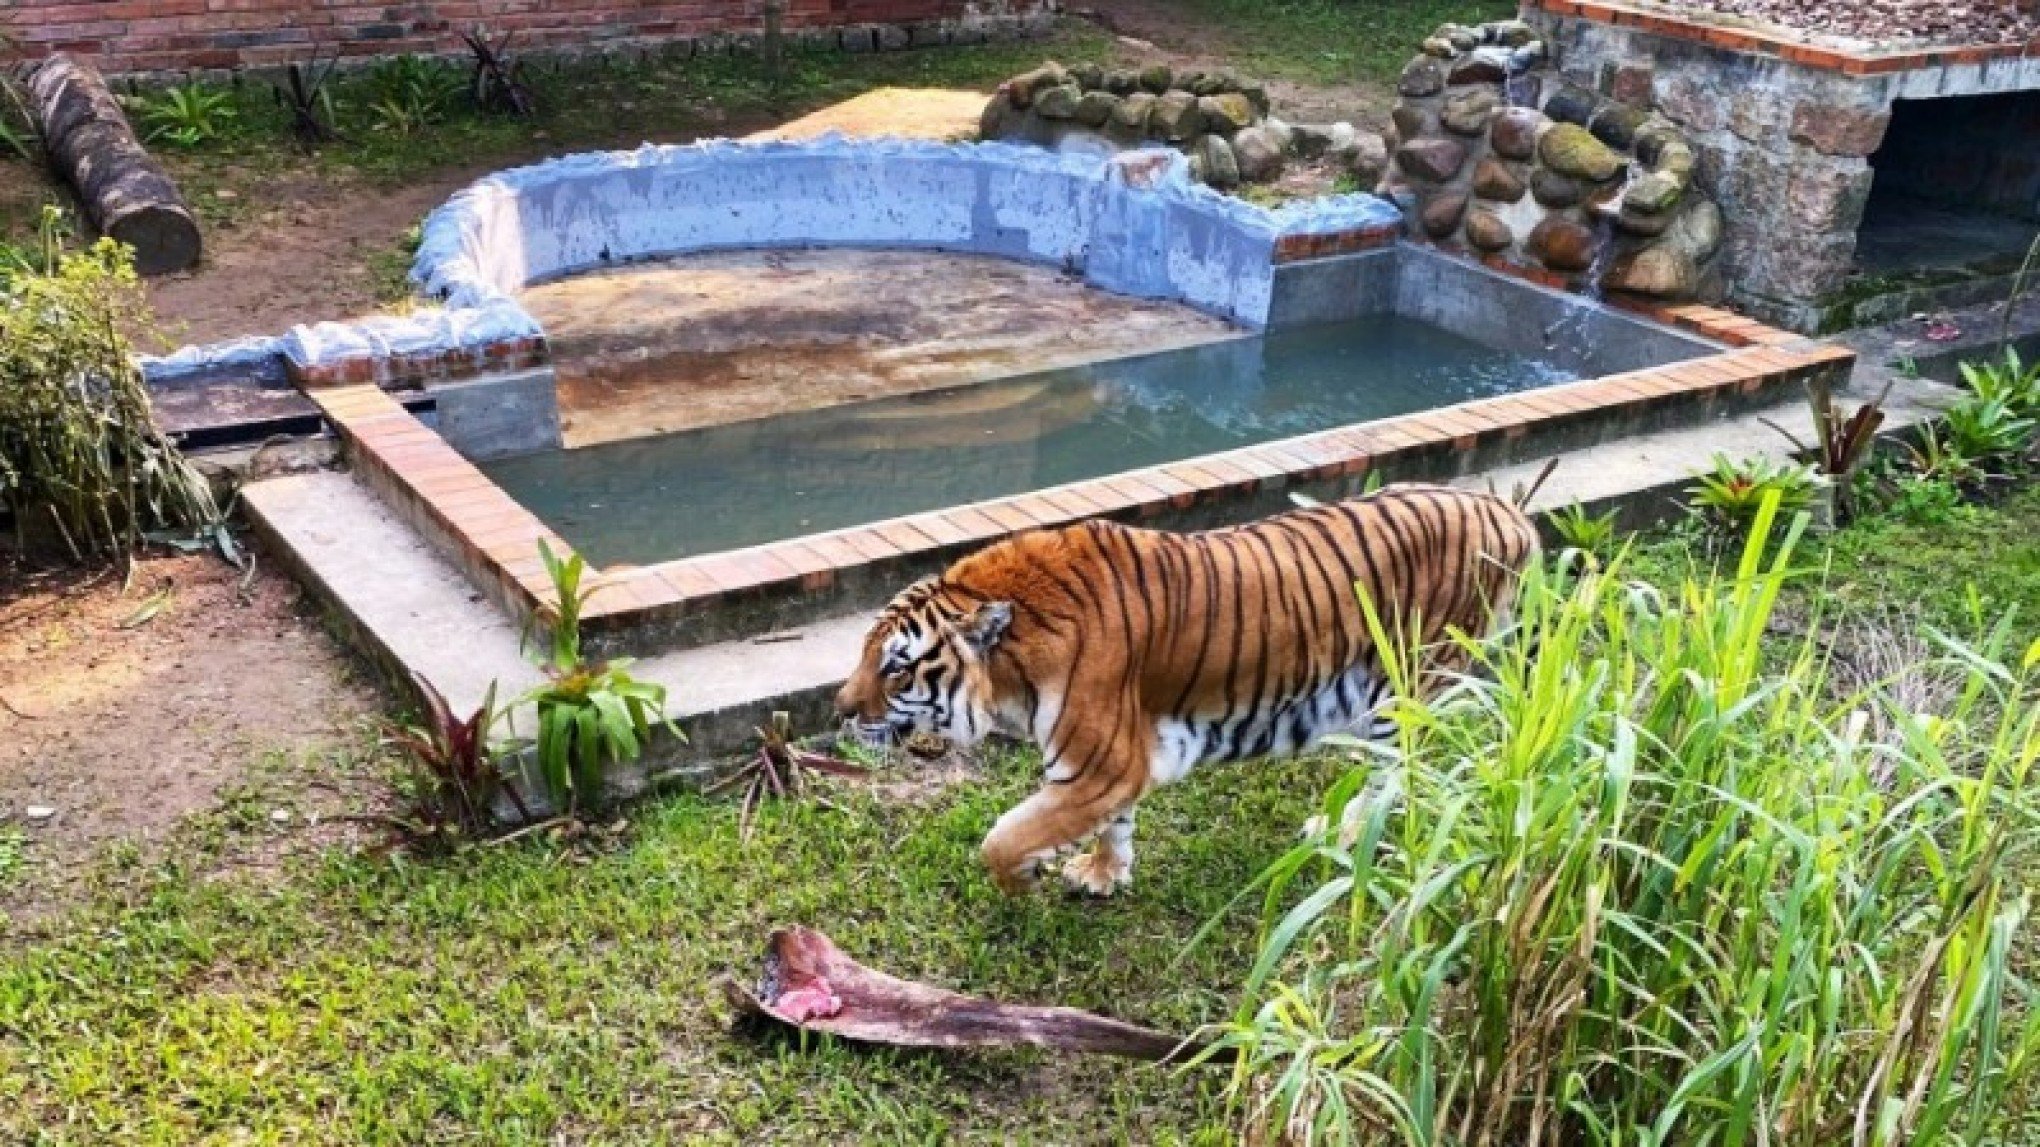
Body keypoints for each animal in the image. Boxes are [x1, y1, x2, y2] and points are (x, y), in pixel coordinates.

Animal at [828, 477, 1534, 898]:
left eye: (895, 668)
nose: (839, 711)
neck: (1013, 670)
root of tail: (1506, 511)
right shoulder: (1114, 769)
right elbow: (1114, 825)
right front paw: (1104, 875)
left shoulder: (1100, 766)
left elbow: (1002, 837)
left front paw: (1025, 879)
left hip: (1410, 690)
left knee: (1404, 774)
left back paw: (1345, 833)